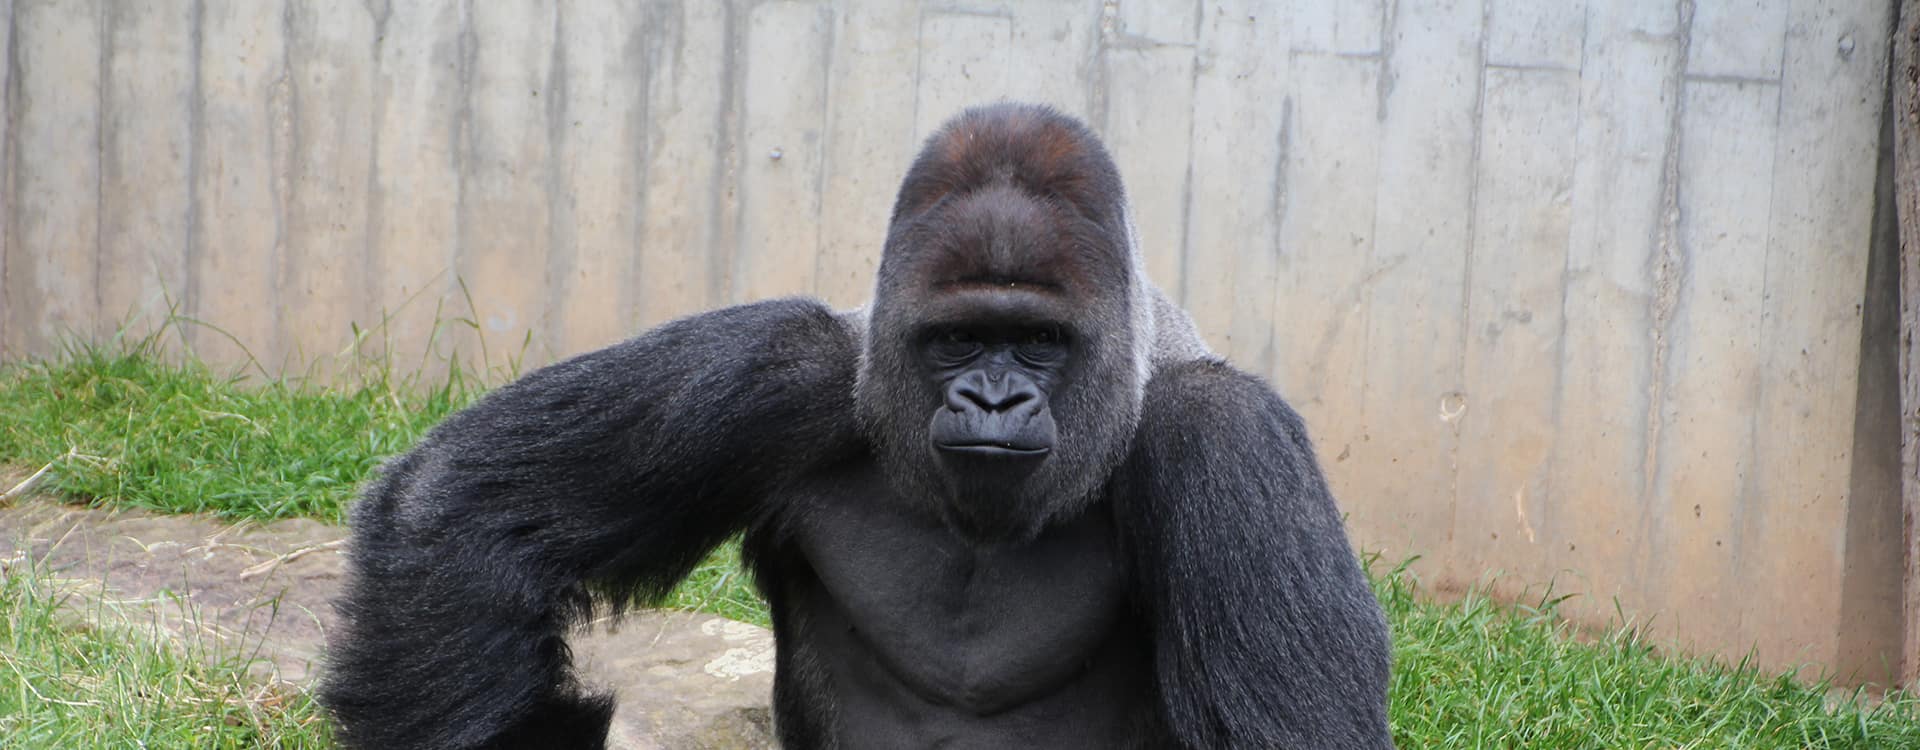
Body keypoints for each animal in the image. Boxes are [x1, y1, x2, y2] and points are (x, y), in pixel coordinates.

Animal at [318, 101, 1397, 750]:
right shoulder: (796, 365)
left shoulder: (1224, 434)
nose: (993, 399)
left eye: (1037, 343)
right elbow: (466, 510)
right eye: (959, 340)